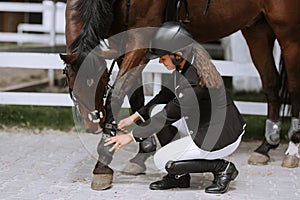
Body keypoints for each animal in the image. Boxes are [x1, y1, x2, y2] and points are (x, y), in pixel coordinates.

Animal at [60, 0, 300, 191]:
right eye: (71, 81)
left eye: (100, 80)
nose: (92, 124)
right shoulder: (121, 42)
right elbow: (136, 95)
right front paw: (142, 153)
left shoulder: (140, 37)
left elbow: (117, 94)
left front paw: (103, 163)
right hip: (257, 28)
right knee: (271, 83)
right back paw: (265, 147)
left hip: (288, 31)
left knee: (294, 86)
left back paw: (292, 149)